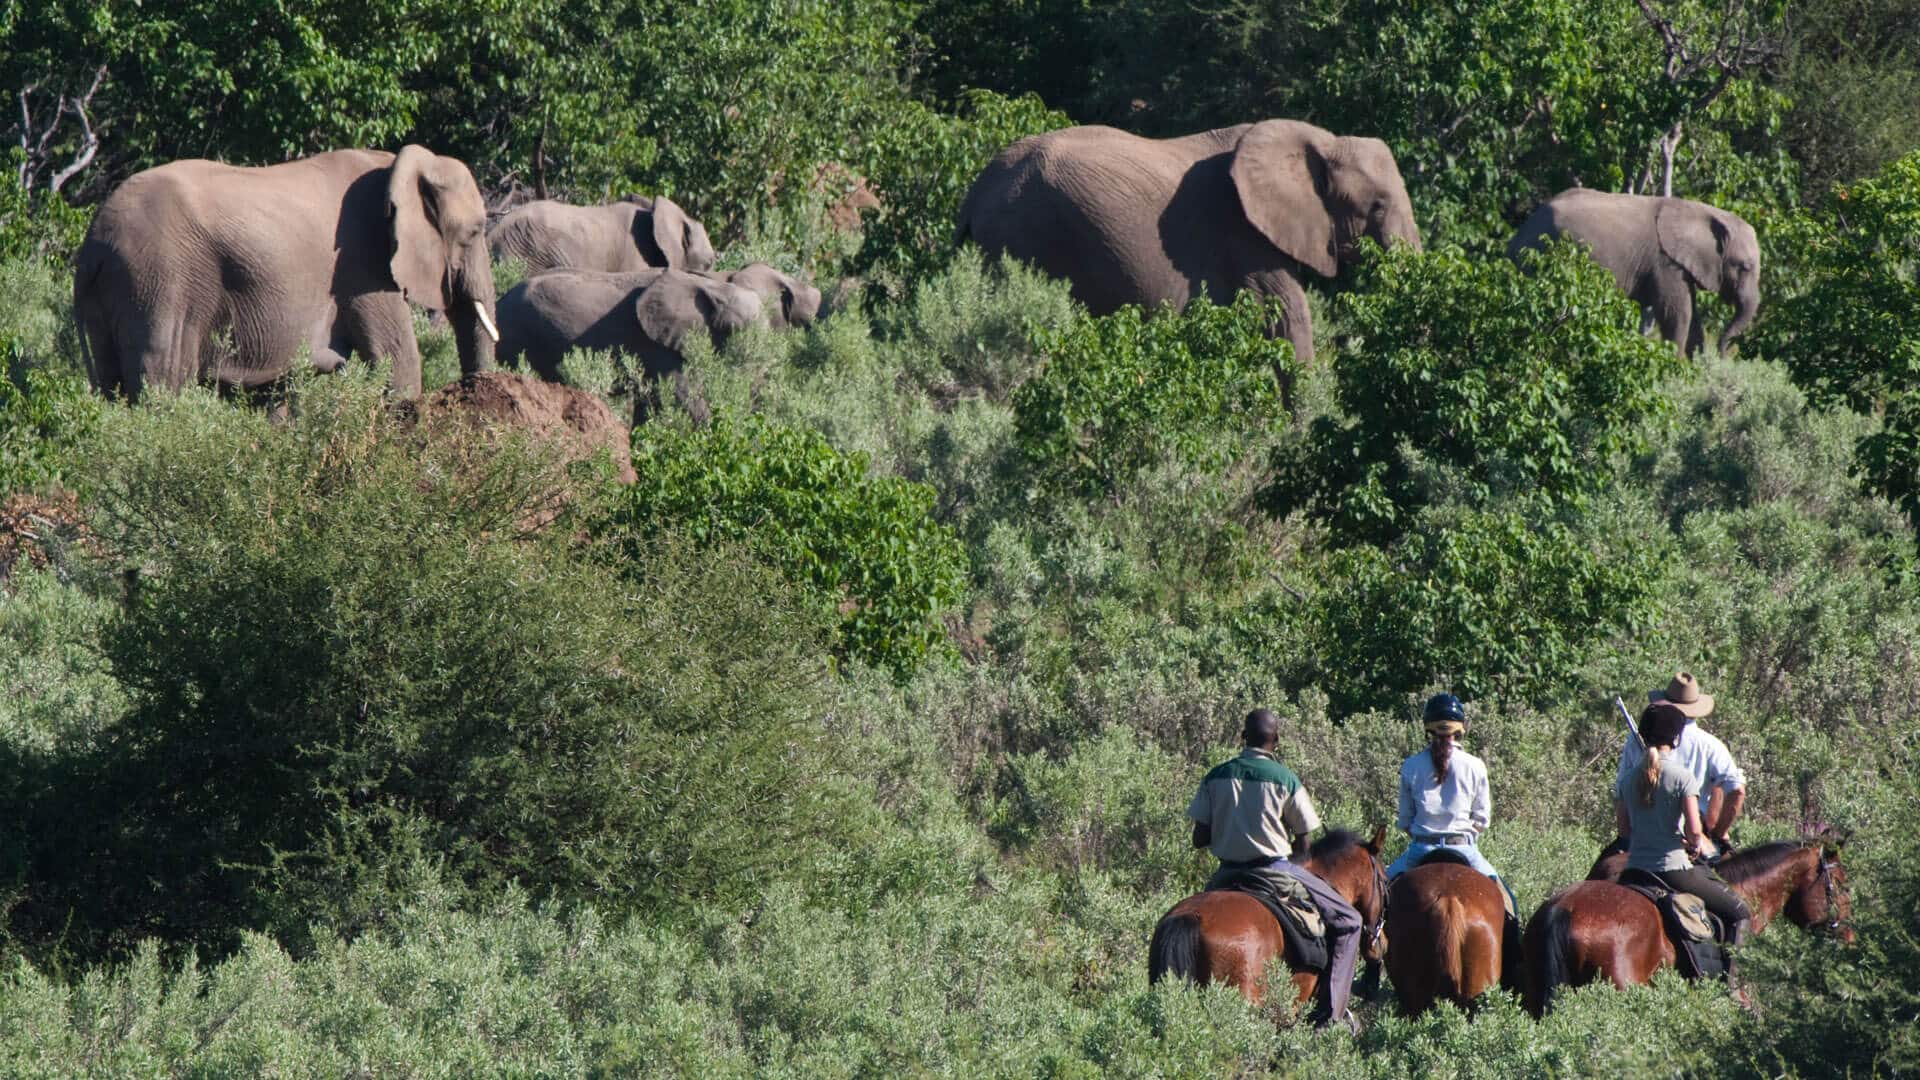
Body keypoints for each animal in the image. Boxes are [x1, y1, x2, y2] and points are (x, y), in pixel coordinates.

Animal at [73, 146, 498, 401]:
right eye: (476, 231)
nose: (476, 393)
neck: (396, 166)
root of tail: (93, 242)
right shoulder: (363, 264)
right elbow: (398, 360)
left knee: (113, 382)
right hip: (160, 281)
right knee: (163, 377)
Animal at [955, 120, 1422, 365]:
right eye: (1378, 206)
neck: (1321, 141)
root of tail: (975, 193)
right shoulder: (1243, 231)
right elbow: (1288, 317)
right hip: (1030, 236)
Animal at [1508, 189, 1760, 357]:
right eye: (1744, 267)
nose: (1722, 353)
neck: (1702, 210)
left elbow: (1692, 316)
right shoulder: (1665, 261)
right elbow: (1677, 313)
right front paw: (1677, 367)